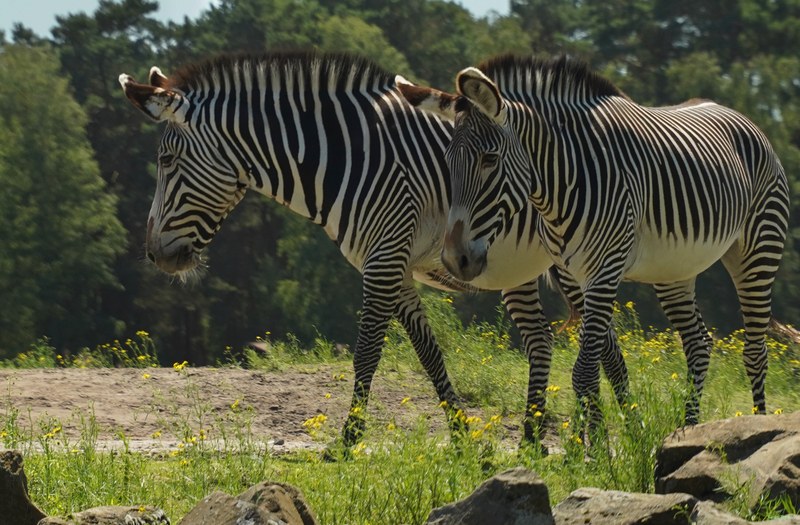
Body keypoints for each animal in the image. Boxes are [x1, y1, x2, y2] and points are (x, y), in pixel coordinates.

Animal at [118, 51, 567, 447]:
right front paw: (464, 439)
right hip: (520, 268)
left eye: (166, 160)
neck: (351, 159)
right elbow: (429, 353)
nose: (155, 254)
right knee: (541, 339)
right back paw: (537, 437)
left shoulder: (385, 259)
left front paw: (348, 440)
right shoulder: (393, 264)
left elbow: (366, 352)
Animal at [399, 55, 790, 432]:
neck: (561, 183)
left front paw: (592, 450)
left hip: (759, 249)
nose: (455, 259)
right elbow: (596, 368)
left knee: (755, 352)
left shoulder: (605, 270)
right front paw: (591, 445)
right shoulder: (573, 273)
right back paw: (688, 429)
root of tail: (743, 118)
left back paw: (757, 424)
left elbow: (585, 373)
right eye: (447, 162)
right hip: (675, 269)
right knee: (699, 344)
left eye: (489, 160)